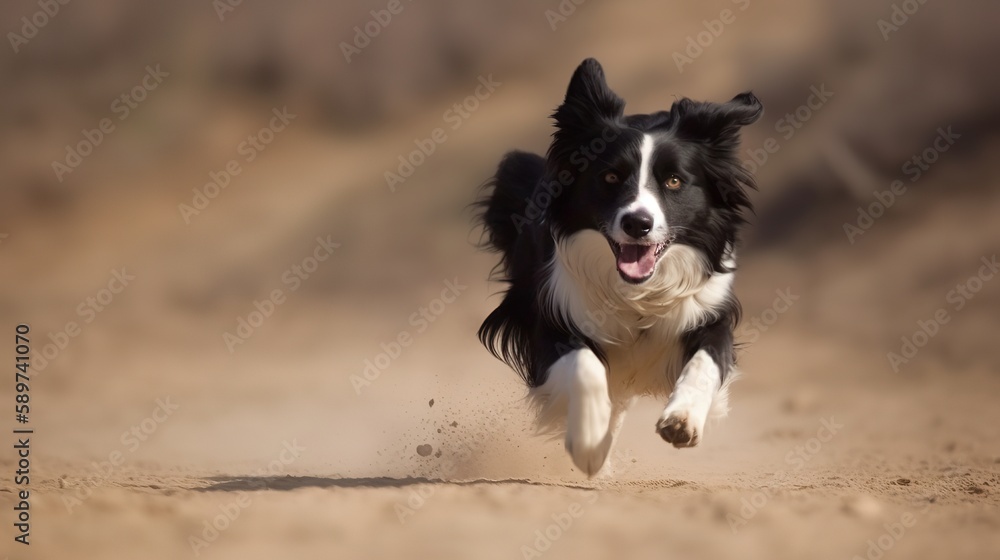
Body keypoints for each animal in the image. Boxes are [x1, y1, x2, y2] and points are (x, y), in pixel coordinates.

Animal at [474, 59, 756, 474]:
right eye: (610, 176)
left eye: (674, 181)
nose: (638, 223)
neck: (637, 296)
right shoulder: (552, 315)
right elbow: (586, 366)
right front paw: (589, 441)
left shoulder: (708, 312)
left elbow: (706, 362)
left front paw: (682, 420)